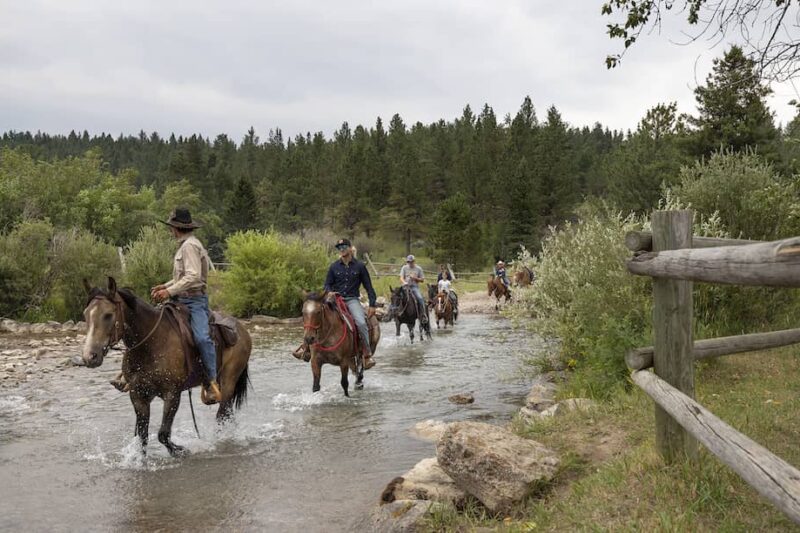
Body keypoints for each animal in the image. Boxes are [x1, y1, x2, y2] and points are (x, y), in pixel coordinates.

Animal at [81, 276, 250, 456]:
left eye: (108, 315)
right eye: (85, 314)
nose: (89, 356)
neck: (151, 342)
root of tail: (240, 328)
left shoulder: (172, 394)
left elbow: (163, 434)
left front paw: (181, 450)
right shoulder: (138, 395)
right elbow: (142, 437)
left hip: (229, 382)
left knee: (222, 415)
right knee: (227, 414)